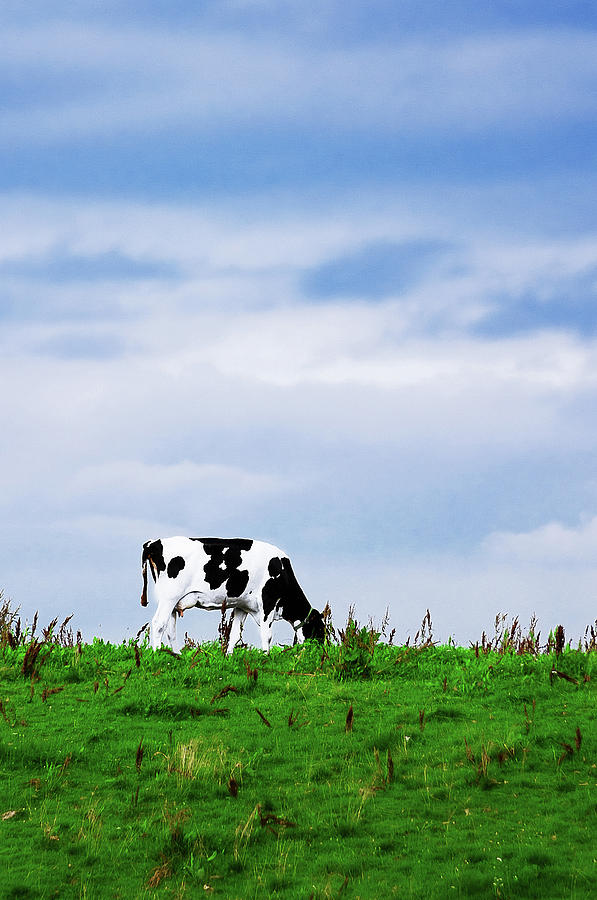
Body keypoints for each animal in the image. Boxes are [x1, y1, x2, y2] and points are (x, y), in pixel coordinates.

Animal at [140, 536, 326, 652]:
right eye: (320, 629)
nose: (322, 651)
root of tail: (154, 543)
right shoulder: (268, 600)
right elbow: (267, 634)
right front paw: (266, 656)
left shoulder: (242, 605)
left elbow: (235, 635)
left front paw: (228, 657)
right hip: (169, 597)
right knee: (158, 624)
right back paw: (157, 654)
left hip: (173, 601)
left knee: (170, 629)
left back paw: (176, 655)